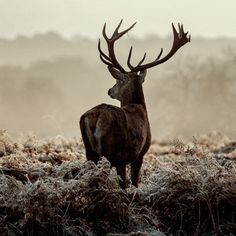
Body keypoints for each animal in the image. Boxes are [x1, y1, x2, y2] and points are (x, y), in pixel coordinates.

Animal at [79, 20, 190, 190]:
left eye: (117, 81)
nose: (110, 90)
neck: (139, 107)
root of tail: (95, 116)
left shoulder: (124, 159)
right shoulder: (138, 154)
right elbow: (133, 183)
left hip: (90, 151)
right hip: (110, 151)